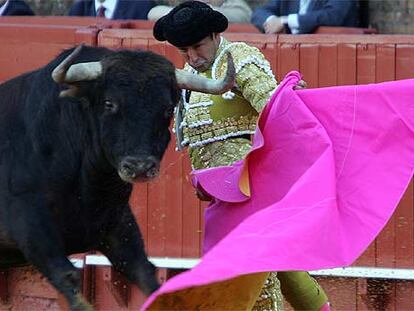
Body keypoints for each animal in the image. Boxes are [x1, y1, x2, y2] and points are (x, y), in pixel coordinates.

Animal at [0, 45, 234, 310]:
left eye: (167, 109)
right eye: (109, 104)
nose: (140, 166)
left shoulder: (118, 223)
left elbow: (145, 273)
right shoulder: (31, 225)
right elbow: (67, 277)